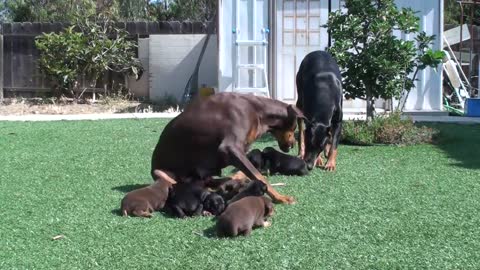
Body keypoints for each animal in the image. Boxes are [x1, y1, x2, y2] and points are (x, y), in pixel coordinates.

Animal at [152, 92, 306, 204]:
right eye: (294, 127)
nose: (293, 144)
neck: (257, 110)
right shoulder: (230, 148)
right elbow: (259, 176)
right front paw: (280, 197)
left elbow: (252, 171)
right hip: (159, 172)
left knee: (214, 180)